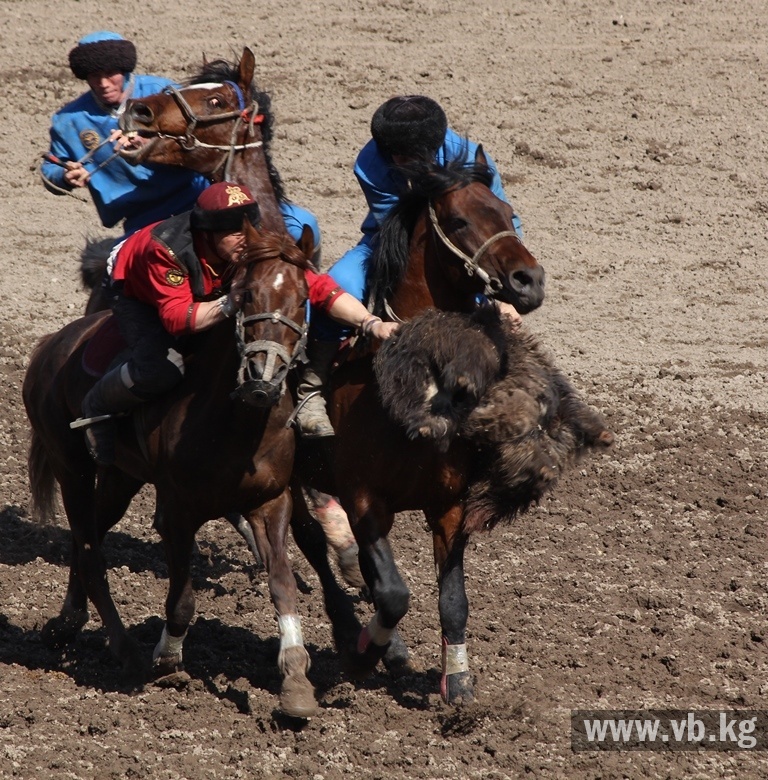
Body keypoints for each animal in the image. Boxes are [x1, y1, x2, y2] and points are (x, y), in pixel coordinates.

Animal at [23, 219, 324, 720]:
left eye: (302, 298)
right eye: (247, 296)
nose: (262, 379)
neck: (236, 422)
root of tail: (50, 346)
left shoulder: (270, 502)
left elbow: (283, 584)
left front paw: (296, 678)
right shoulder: (176, 514)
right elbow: (182, 600)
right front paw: (167, 658)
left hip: (120, 478)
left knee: (89, 538)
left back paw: (67, 621)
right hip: (71, 466)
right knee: (88, 550)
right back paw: (125, 650)